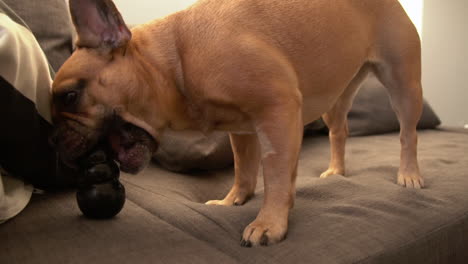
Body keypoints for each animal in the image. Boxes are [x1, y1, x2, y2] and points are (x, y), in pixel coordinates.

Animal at [51, 0, 424, 246]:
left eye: (69, 97)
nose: (54, 138)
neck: (175, 62)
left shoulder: (277, 109)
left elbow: (275, 173)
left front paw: (269, 223)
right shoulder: (241, 130)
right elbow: (243, 168)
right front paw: (233, 200)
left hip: (403, 83)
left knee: (408, 135)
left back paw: (409, 175)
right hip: (336, 98)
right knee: (338, 130)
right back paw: (336, 172)